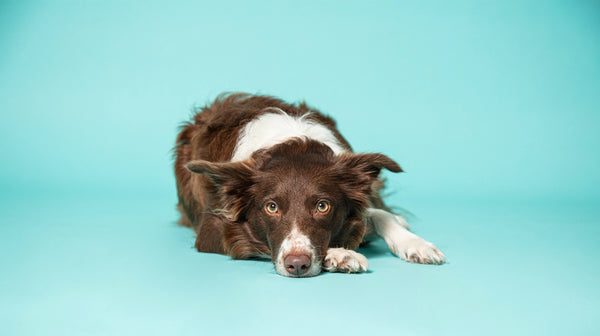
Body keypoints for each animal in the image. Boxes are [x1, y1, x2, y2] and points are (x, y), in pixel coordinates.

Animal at [173, 93, 446, 276]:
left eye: (322, 206)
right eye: (271, 207)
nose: (297, 265)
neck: (293, 144)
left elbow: (376, 214)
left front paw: (416, 244)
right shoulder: (212, 229)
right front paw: (341, 253)